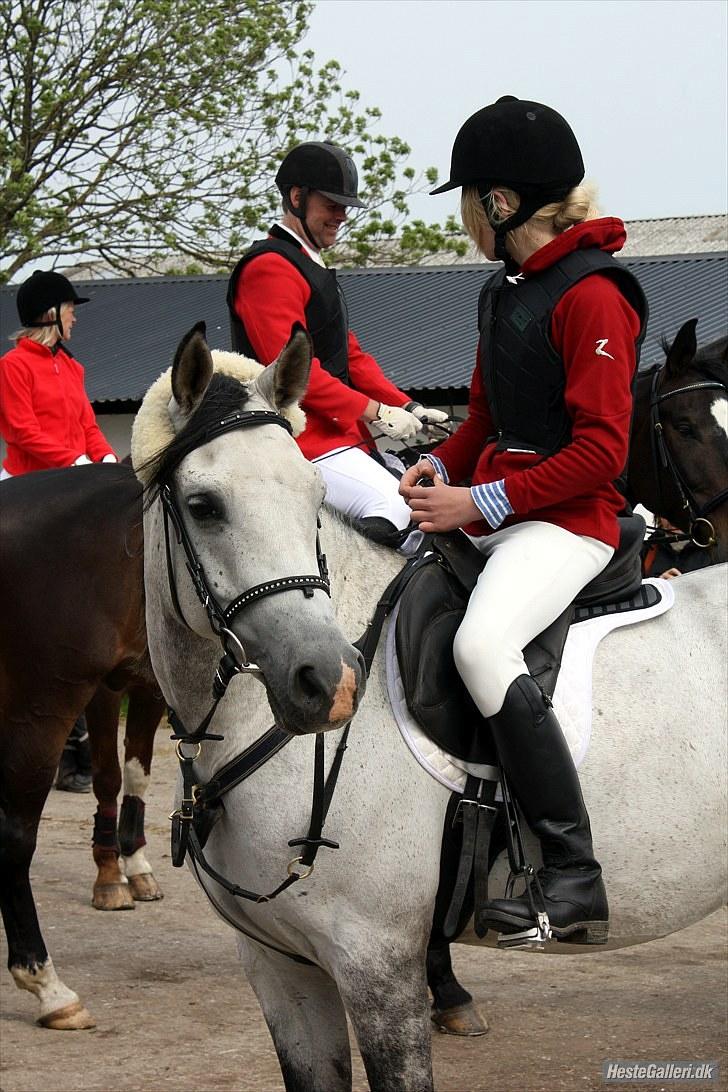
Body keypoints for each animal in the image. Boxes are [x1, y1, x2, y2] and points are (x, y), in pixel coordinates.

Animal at [0, 465, 164, 1026]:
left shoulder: (149, 685)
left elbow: (137, 772)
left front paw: (133, 864)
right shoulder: (96, 691)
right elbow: (109, 775)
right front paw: (110, 874)